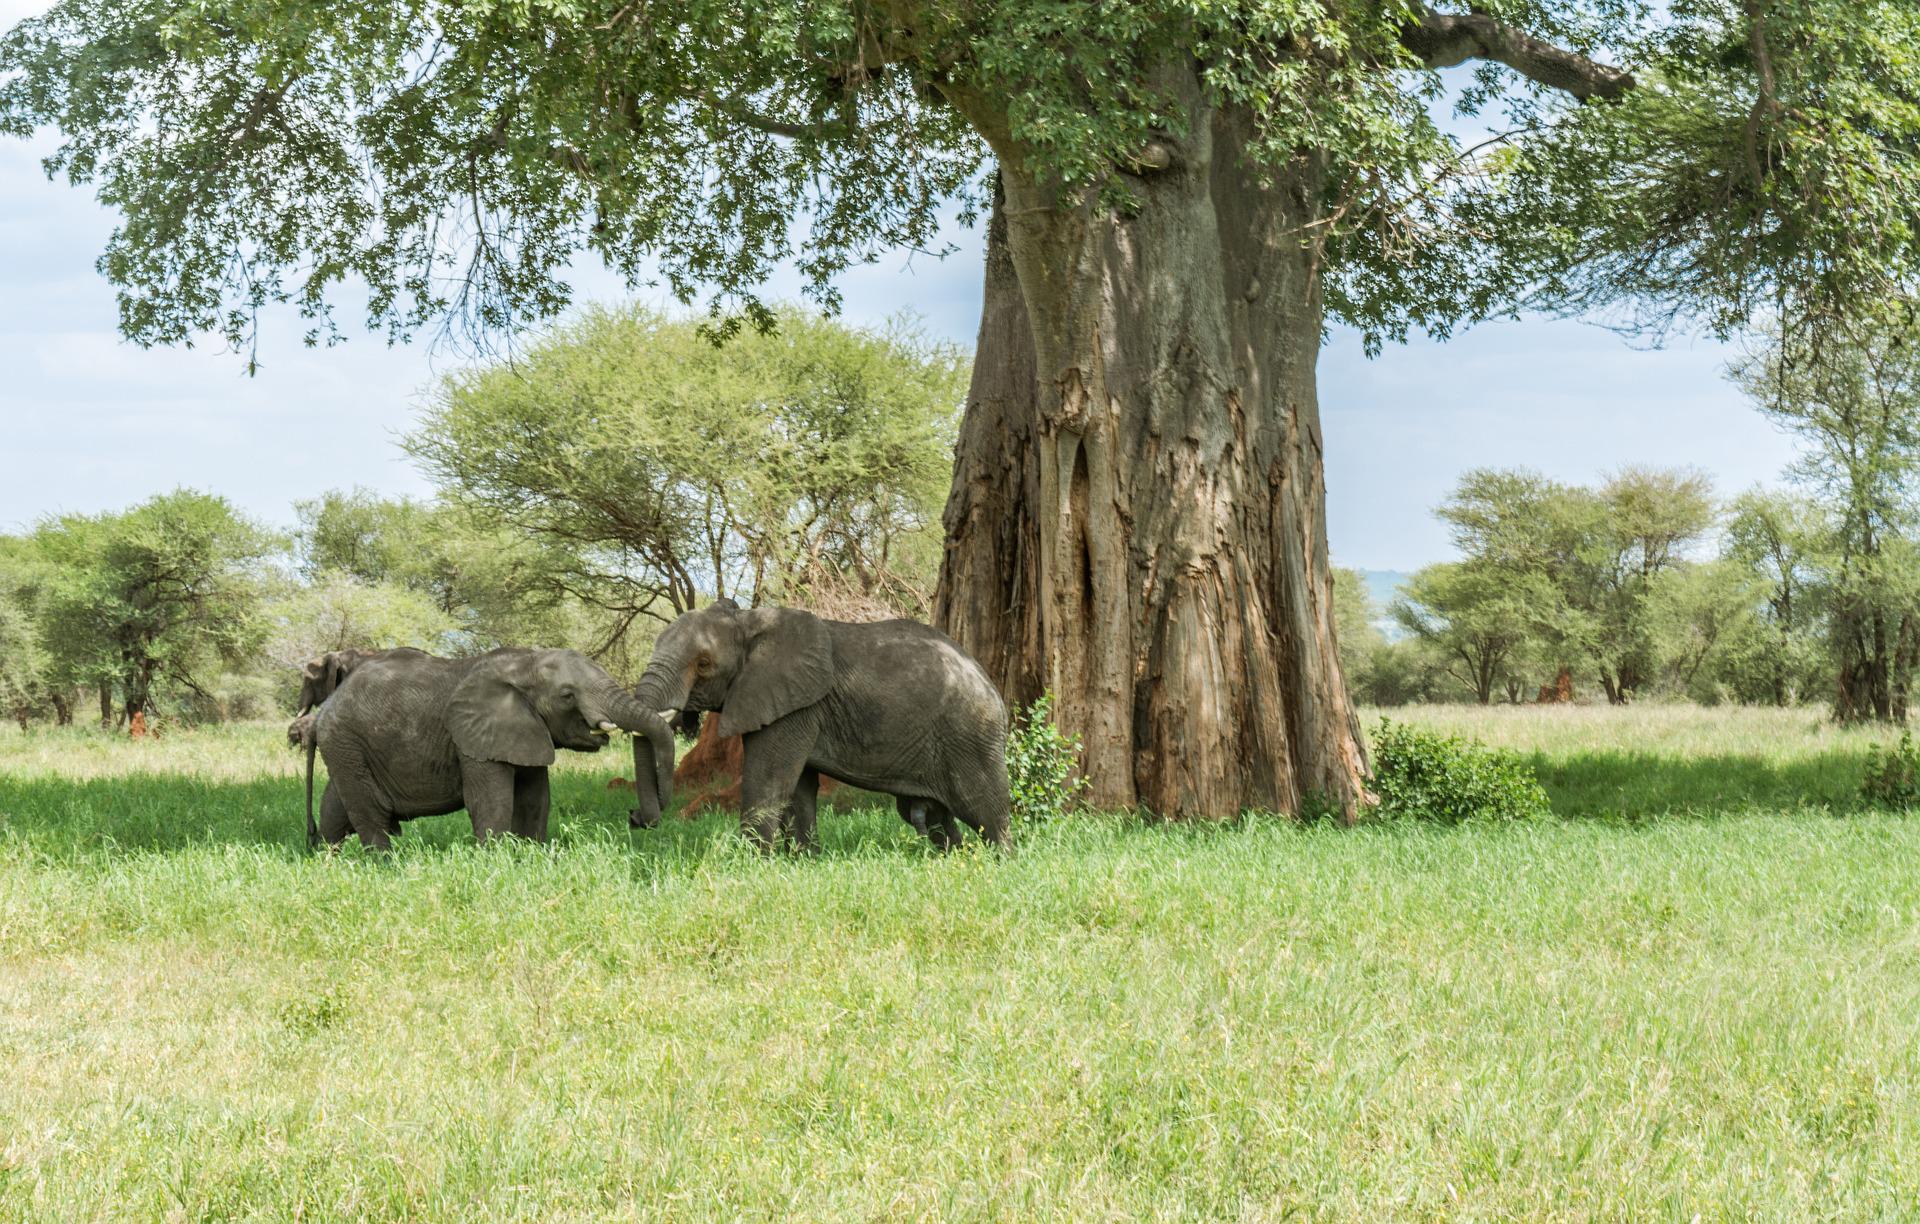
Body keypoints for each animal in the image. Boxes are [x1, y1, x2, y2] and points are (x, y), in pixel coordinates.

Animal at [304, 647, 675, 850]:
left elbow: (535, 798)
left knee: (335, 804)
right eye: (567, 695)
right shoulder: (473, 739)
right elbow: (491, 800)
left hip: (347, 747)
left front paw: (531, 855)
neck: (525, 662)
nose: (635, 818)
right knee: (370, 813)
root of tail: (325, 709)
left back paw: (327, 861)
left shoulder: (526, 730)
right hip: (346, 742)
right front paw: (495, 861)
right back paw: (386, 865)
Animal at [629, 598, 1010, 852]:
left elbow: (767, 780)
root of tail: (991, 686)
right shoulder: (787, 705)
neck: (749, 621)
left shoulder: (795, 706)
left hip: (970, 736)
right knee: (933, 815)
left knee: (982, 809)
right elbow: (799, 788)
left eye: (704, 663)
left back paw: (997, 863)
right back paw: (956, 859)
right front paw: (802, 859)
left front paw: (752, 863)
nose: (635, 818)